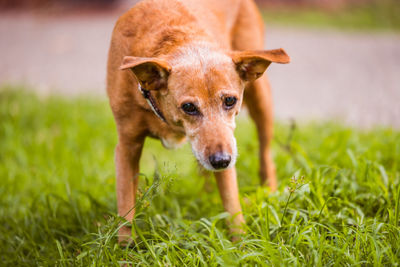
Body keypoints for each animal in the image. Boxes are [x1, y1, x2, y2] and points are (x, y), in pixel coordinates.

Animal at [104, 0, 290, 244]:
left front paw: (240, 244)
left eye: (230, 101)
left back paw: (270, 191)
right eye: (189, 107)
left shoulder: (227, 146)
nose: (221, 161)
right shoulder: (127, 147)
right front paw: (126, 248)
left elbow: (232, 203)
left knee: (266, 155)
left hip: (261, 99)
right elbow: (126, 207)